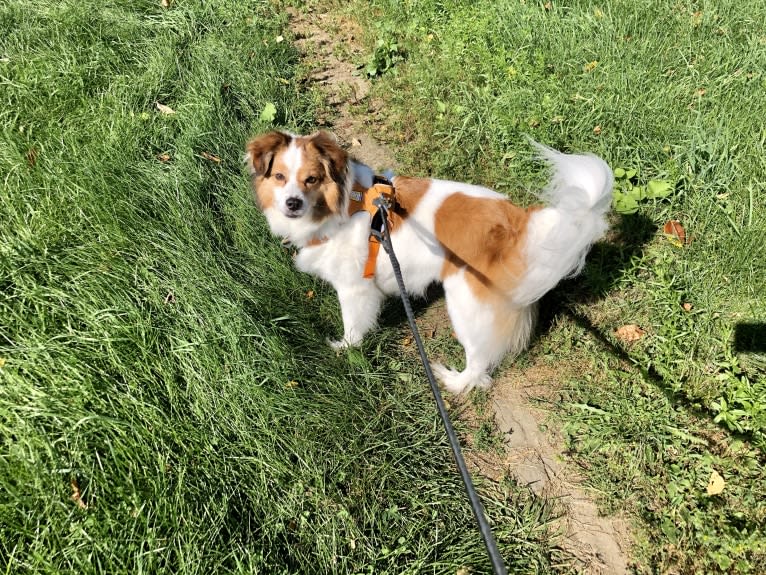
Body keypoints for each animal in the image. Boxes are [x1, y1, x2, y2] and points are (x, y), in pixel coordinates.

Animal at [246, 131, 612, 394]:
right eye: (280, 177)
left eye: (311, 179)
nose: (292, 203)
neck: (346, 205)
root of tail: (517, 221)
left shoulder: (354, 288)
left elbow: (353, 326)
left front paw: (345, 348)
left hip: (465, 305)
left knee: (479, 359)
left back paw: (456, 381)